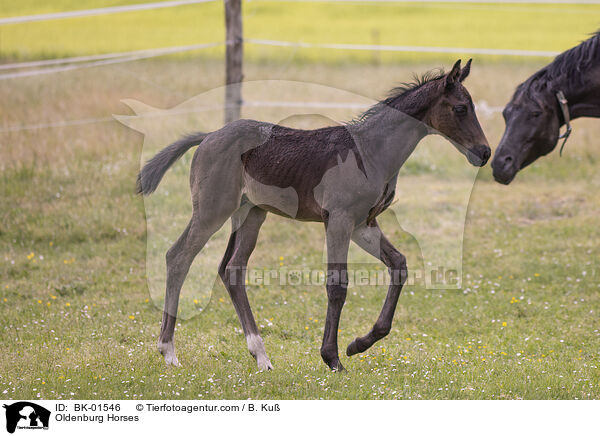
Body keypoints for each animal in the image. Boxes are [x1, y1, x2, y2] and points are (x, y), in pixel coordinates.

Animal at [138, 58, 490, 372]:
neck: (370, 151)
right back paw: (168, 351)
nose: (485, 152)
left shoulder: (363, 224)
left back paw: (261, 356)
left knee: (232, 269)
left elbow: (398, 265)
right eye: (461, 108)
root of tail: (208, 136)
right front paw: (331, 357)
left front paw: (358, 344)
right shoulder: (339, 220)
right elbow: (337, 285)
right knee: (178, 257)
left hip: (251, 214)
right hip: (213, 210)